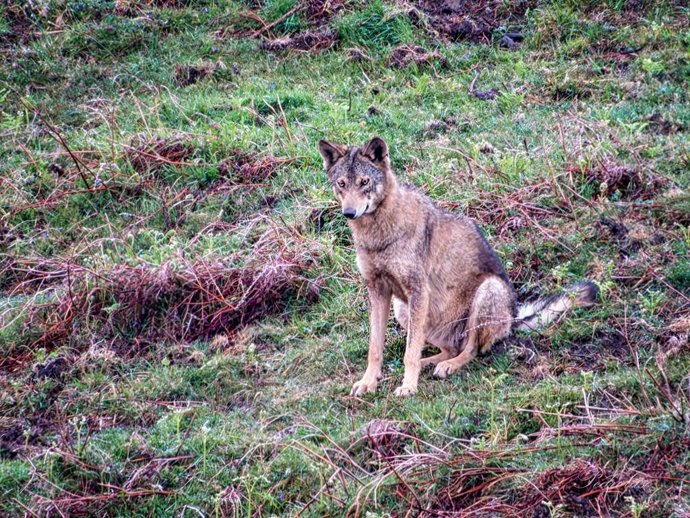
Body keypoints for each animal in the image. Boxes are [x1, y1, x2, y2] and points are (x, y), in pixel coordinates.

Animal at [318, 136, 599, 397]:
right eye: (341, 184)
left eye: (364, 182)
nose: (349, 213)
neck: (377, 236)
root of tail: (513, 317)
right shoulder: (377, 291)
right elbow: (375, 349)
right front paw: (368, 382)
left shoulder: (417, 290)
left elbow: (409, 352)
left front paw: (408, 387)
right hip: (403, 309)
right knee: (446, 348)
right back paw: (430, 362)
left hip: (486, 292)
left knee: (470, 350)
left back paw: (448, 366)